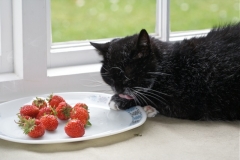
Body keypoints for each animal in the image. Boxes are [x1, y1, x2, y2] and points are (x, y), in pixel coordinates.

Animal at [91, 22, 240, 120]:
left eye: (127, 74)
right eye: (109, 76)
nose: (118, 89)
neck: (167, 67)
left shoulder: (188, 102)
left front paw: (120, 101)